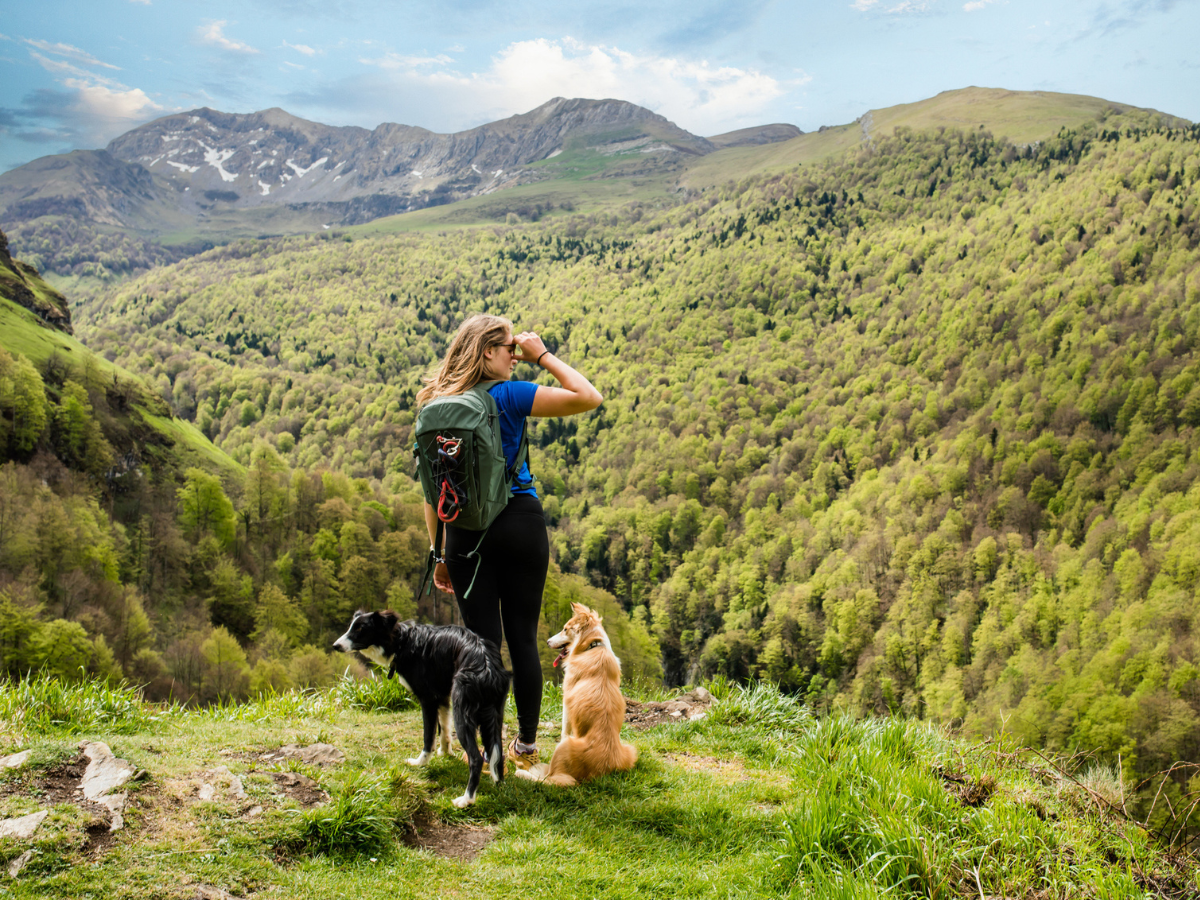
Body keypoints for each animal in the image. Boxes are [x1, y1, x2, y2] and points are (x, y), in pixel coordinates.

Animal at [333, 614, 511, 811]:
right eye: (351, 627)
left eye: (359, 629)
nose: (335, 645)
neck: (402, 642)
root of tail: (487, 667)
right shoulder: (442, 696)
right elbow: (444, 730)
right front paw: (445, 753)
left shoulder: (427, 699)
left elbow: (428, 737)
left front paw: (421, 762)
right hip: (494, 715)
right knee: (497, 751)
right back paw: (499, 784)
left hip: (462, 714)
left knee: (476, 758)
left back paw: (466, 799)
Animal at [520, 607, 643, 787]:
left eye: (565, 629)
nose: (548, 641)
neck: (593, 646)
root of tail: (603, 768)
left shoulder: (566, 701)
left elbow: (564, 729)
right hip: (630, 750)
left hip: (564, 749)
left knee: (548, 778)